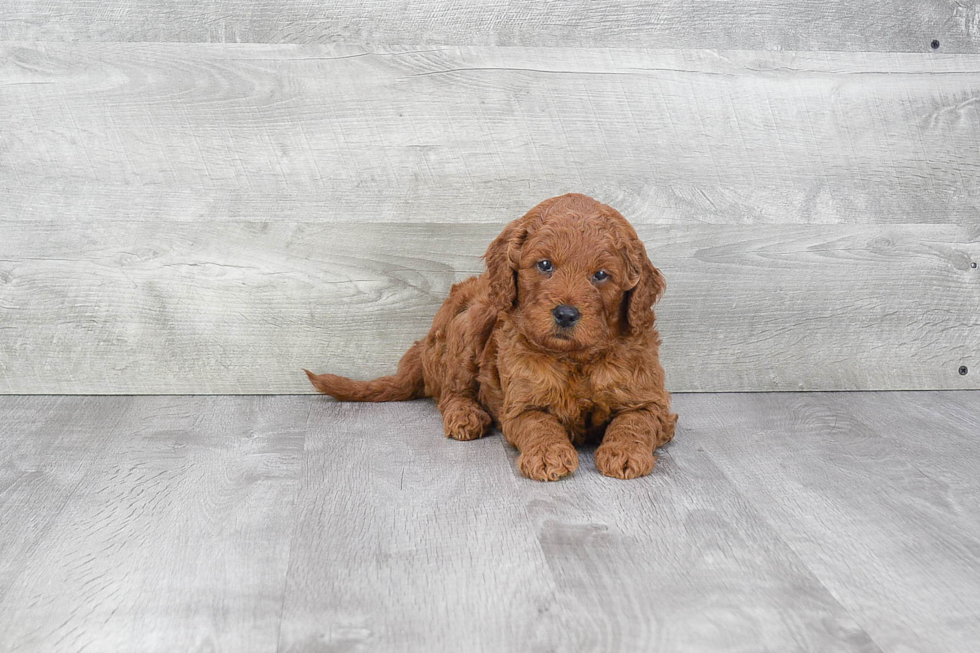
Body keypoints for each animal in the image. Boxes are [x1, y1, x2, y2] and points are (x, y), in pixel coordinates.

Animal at [304, 192, 672, 478]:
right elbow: (539, 425)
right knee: (451, 393)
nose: (566, 314)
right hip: (469, 325)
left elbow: (634, 422)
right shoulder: (521, 405)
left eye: (601, 275)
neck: (575, 359)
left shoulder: (651, 403)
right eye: (544, 265)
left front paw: (624, 453)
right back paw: (466, 416)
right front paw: (548, 455)